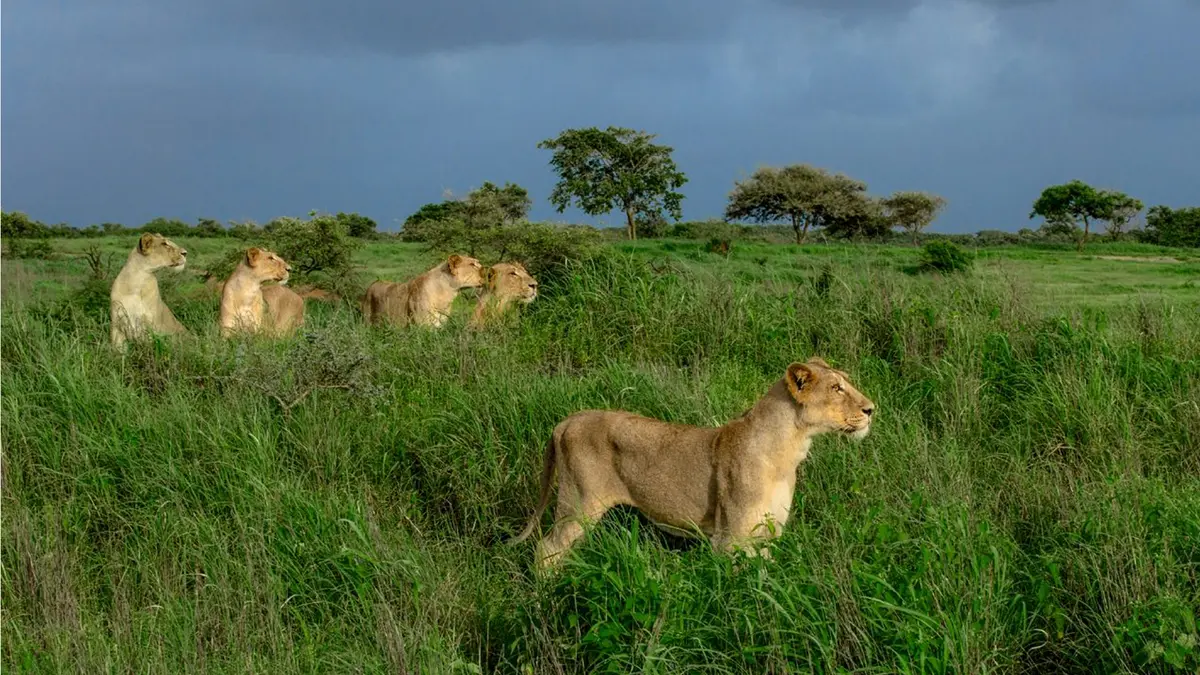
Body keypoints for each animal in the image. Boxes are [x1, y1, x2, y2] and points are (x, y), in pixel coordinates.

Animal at [509, 357, 876, 571]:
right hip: (579, 502)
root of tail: (568, 420)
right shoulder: (731, 539)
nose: (872, 409)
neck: (790, 449)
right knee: (546, 549)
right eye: (837, 388)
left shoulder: (767, 535)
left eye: (845, 382)